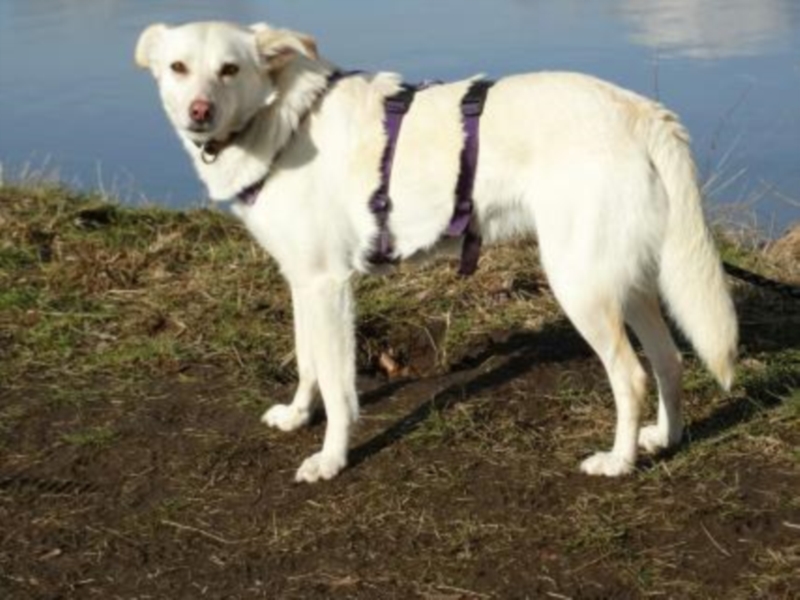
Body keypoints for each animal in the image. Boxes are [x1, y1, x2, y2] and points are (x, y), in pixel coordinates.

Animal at [135, 21, 738, 483]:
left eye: (230, 69)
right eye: (179, 68)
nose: (198, 111)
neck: (283, 118)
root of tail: (639, 109)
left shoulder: (329, 287)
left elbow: (337, 386)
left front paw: (331, 458)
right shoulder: (303, 281)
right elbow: (308, 363)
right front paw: (296, 415)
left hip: (580, 285)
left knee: (632, 376)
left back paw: (619, 462)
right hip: (622, 280)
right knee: (669, 360)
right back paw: (665, 437)